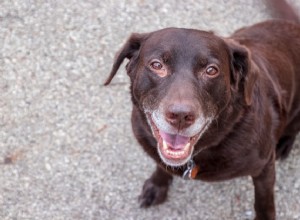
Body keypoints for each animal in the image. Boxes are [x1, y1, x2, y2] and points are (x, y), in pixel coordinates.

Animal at [103, 0, 300, 219]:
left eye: (211, 70)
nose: (181, 116)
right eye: (157, 65)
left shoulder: (264, 168)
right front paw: (157, 185)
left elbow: (264, 203)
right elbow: (161, 164)